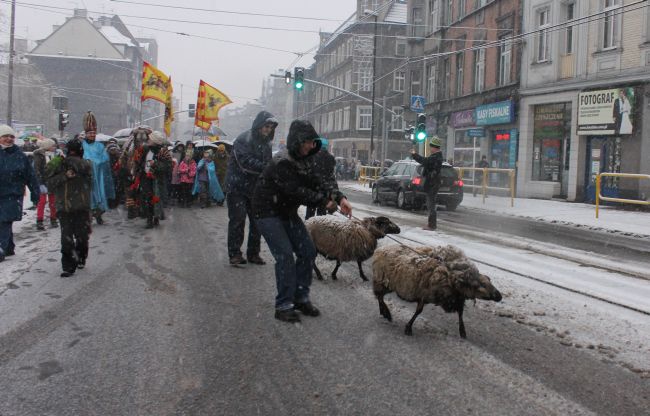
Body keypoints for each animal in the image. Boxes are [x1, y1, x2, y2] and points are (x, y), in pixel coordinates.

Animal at [370, 244, 502, 338]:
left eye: (489, 281)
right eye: (480, 285)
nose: (499, 296)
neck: (450, 274)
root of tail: (380, 249)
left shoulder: (456, 298)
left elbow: (460, 313)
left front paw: (462, 331)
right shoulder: (424, 294)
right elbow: (418, 311)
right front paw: (408, 327)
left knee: (379, 297)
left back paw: (384, 312)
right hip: (382, 281)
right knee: (379, 296)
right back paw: (386, 313)